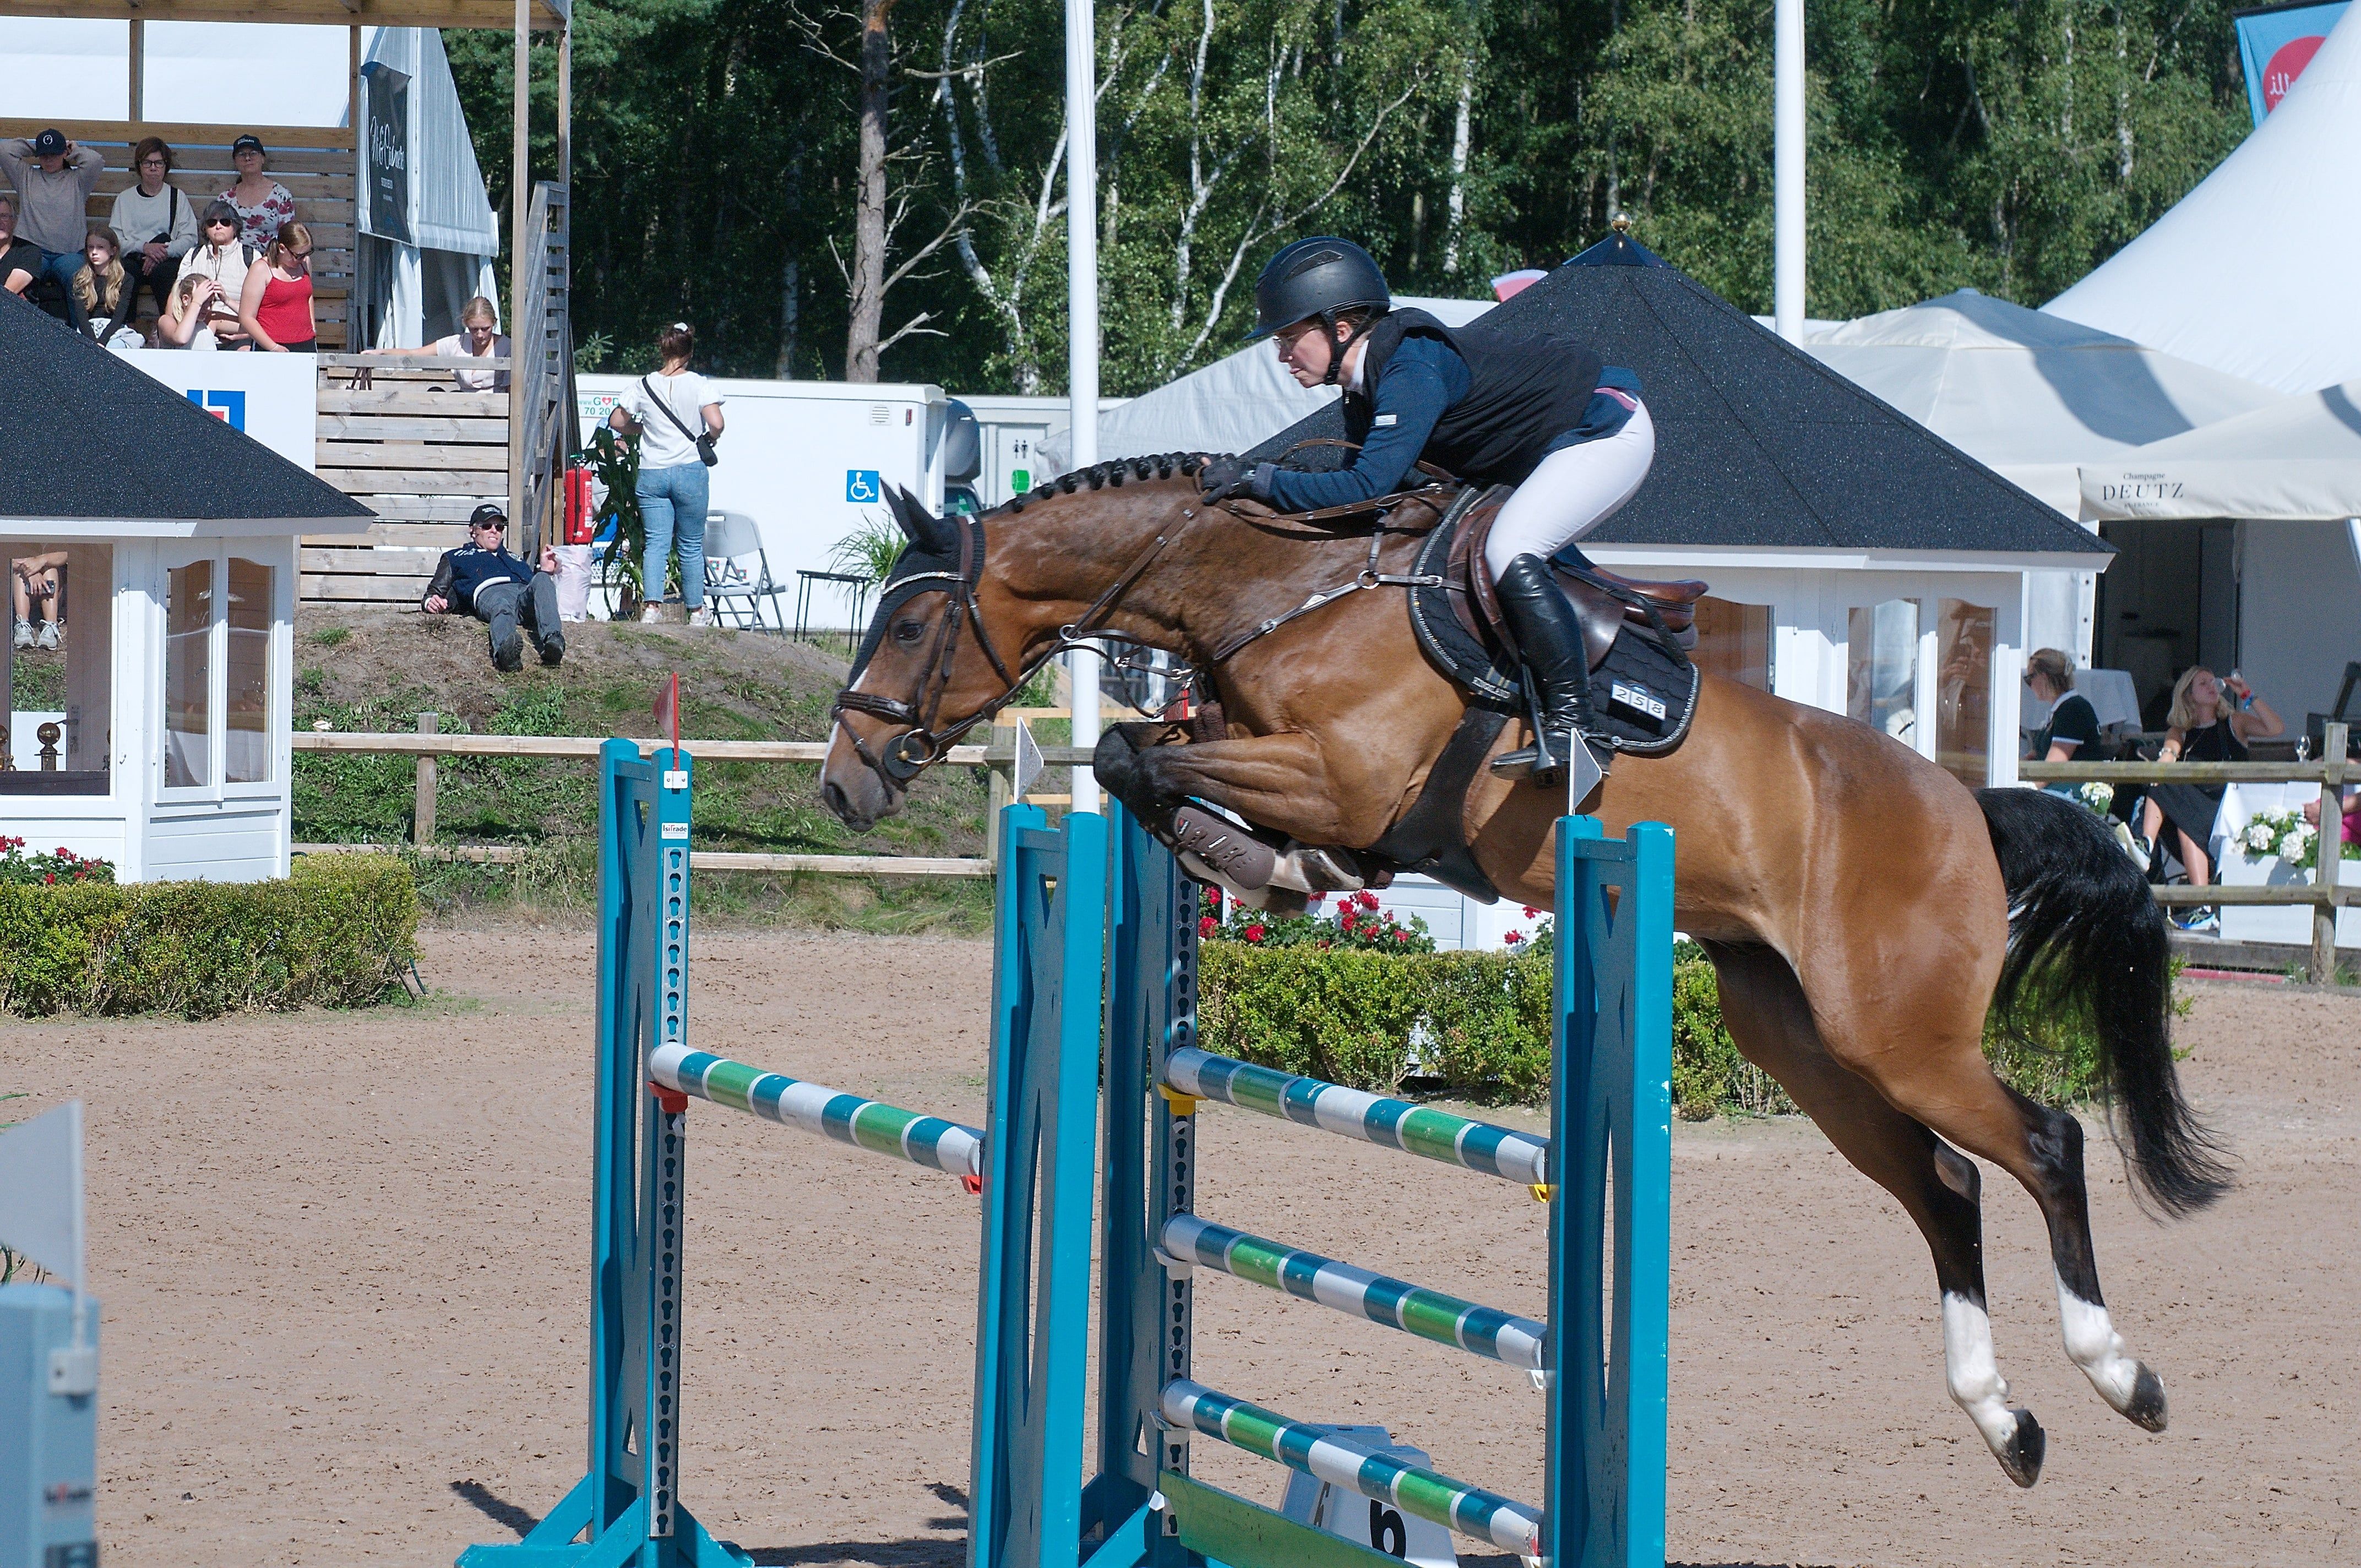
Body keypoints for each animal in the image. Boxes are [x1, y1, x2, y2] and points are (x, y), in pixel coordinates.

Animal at [819, 454, 2228, 1489]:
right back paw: (2005, 1422)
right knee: (1943, 1187)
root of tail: (1961, 805)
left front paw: (1264, 862)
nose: (842, 783)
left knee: (2041, 1142)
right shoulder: (1263, 749)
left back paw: (2124, 1377)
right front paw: (1257, 862)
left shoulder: (1337, 773)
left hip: (1897, 1034)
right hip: (1803, 1040)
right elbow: (1135, 755)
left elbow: (1138, 755)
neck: (1284, 590)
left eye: (908, 617)